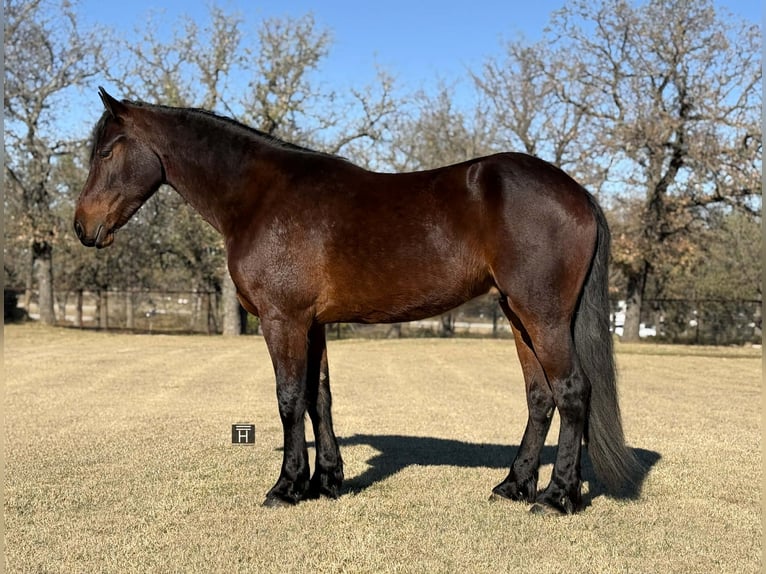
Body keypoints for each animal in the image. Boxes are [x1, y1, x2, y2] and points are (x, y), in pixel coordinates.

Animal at [74, 88, 639, 514]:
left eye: (106, 151)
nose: (82, 227)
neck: (260, 197)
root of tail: (578, 193)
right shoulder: (313, 323)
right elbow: (318, 398)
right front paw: (326, 481)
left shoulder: (282, 320)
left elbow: (288, 398)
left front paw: (286, 487)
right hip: (518, 316)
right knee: (540, 398)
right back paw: (513, 486)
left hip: (543, 317)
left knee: (572, 392)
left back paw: (557, 497)